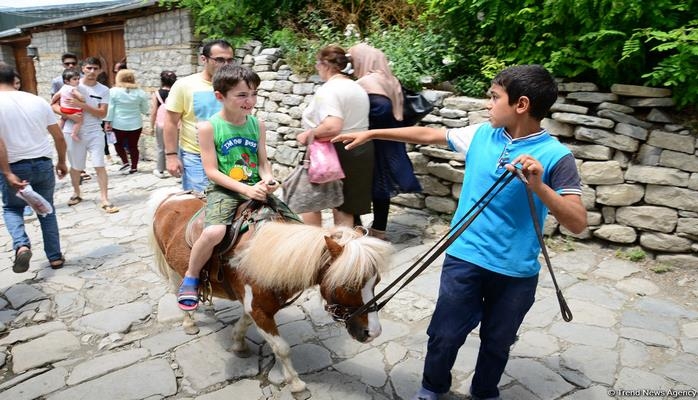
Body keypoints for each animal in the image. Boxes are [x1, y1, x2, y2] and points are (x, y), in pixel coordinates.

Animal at [146, 189, 392, 392]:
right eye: (349, 285)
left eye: (376, 281)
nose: (374, 332)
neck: (265, 256)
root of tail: (169, 197)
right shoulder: (260, 310)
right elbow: (282, 348)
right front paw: (296, 384)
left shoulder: (254, 305)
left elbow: (244, 322)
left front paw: (238, 344)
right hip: (175, 269)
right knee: (178, 291)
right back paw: (189, 321)